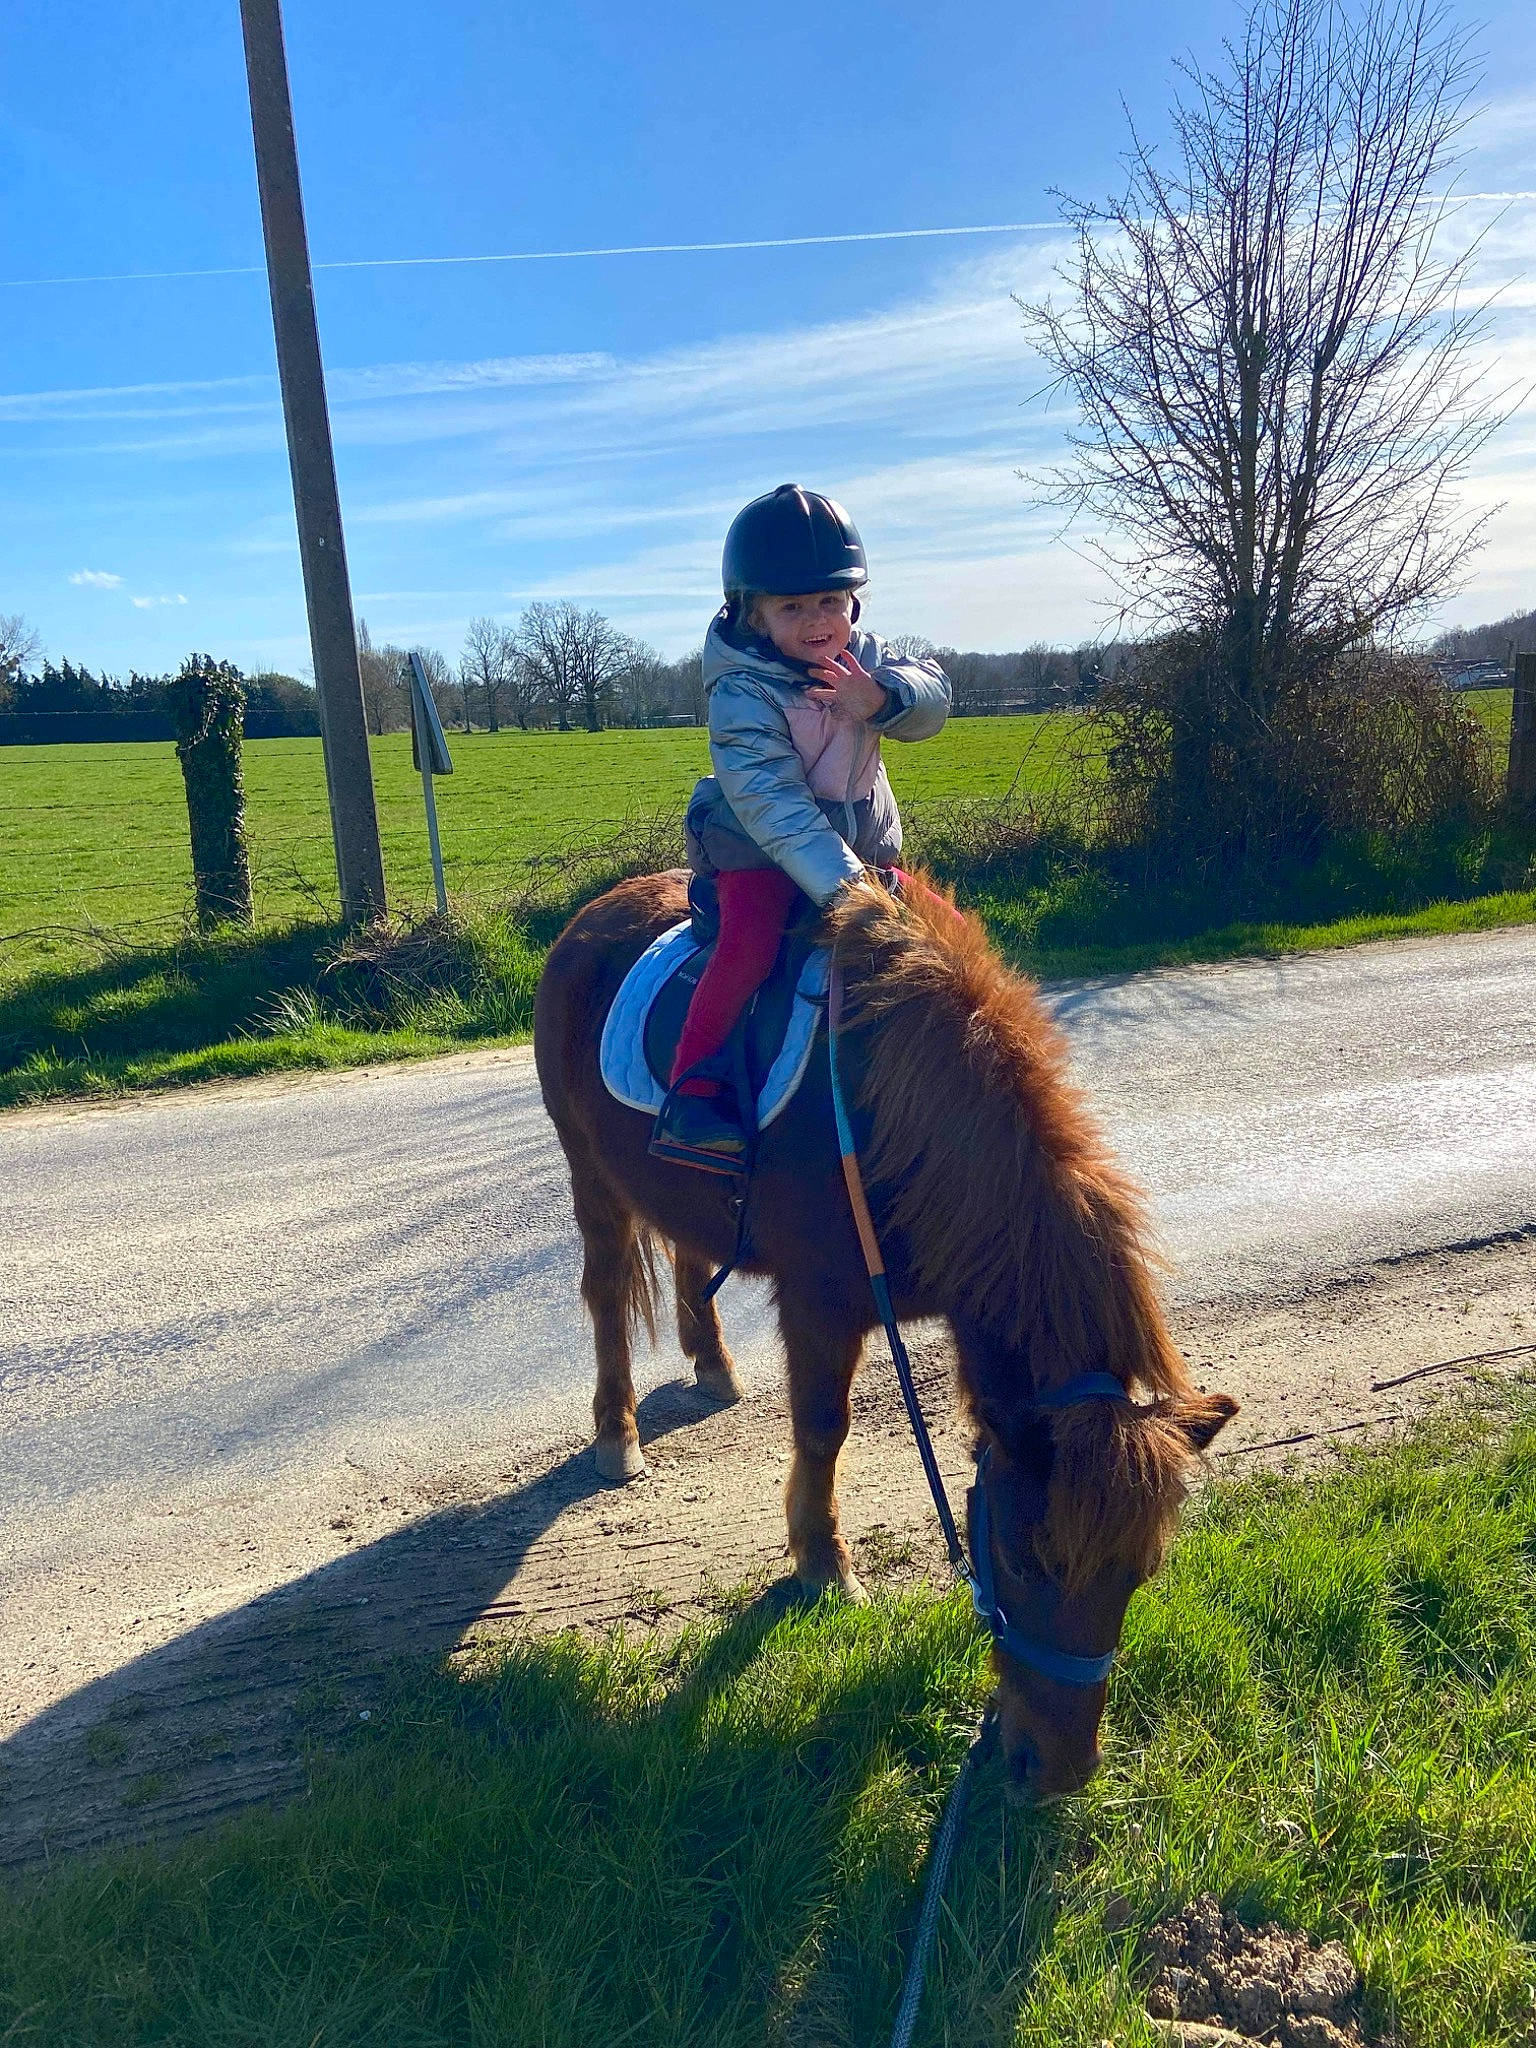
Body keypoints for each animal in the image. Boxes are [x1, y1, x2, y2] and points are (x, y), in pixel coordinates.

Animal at [533, 869, 1237, 1801]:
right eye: (1027, 1560)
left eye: (1141, 1573)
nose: (1056, 1773)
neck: (896, 1127)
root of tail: (593, 915)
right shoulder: (822, 1307)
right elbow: (822, 1431)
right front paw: (821, 1562)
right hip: (594, 1180)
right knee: (608, 1296)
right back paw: (616, 1432)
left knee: (690, 1250)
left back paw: (713, 1362)